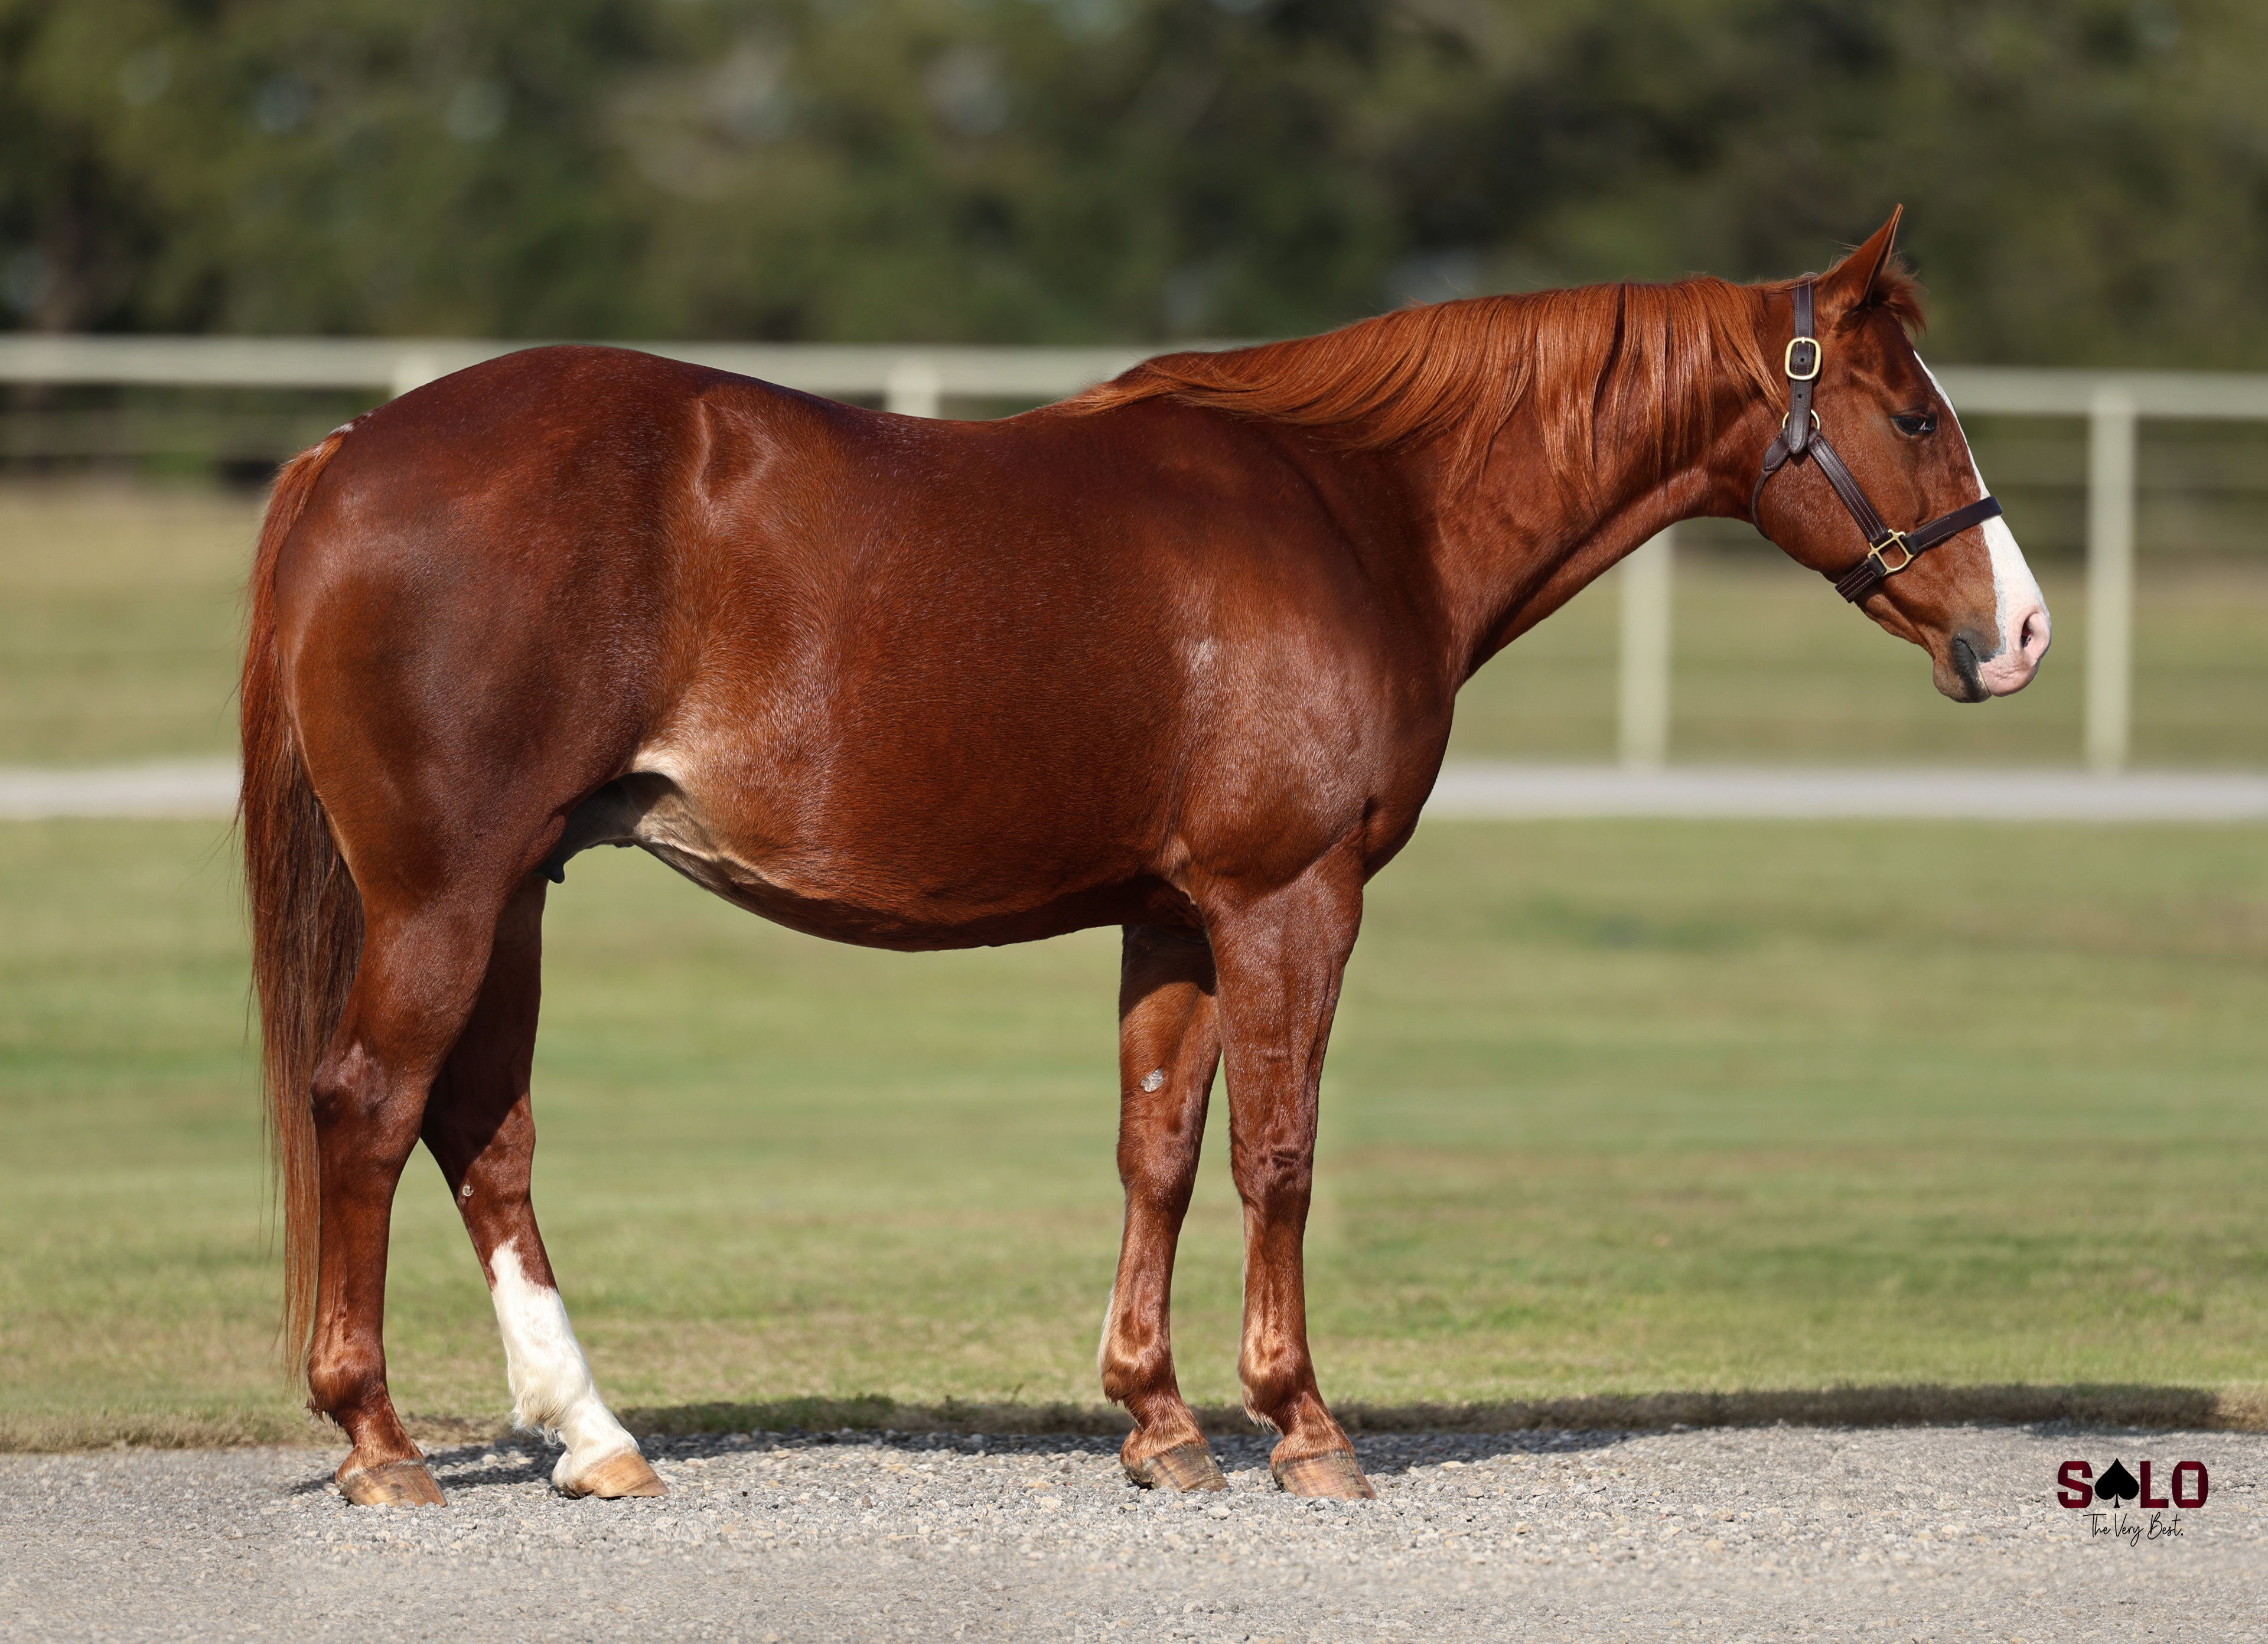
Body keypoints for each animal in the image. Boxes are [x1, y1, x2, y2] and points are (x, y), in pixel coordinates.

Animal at [242, 208, 2050, 1507]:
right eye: (1910, 411)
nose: (2018, 631)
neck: (1358, 507)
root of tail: (350, 452)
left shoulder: (1176, 917)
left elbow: (1160, 1150)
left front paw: (1158, 1418)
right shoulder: (1288, 898)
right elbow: (1280, 1154)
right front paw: (1302, 1424)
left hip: (511, 892)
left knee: (482, 1134)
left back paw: (594, 1437)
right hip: (445, 895)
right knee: (372, 1106)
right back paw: (381, 1444)